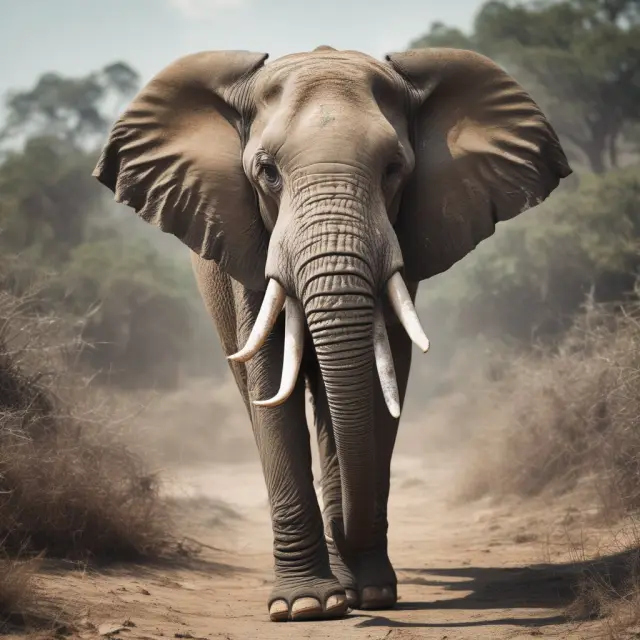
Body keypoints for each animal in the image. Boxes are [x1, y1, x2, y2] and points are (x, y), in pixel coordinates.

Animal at [93, 45, 571, 622]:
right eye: (267, 173)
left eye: (394, 169)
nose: (342, 534)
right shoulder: (248, 244)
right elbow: (270, 375)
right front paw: (304, 606)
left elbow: (383, 376)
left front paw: (372, 594)